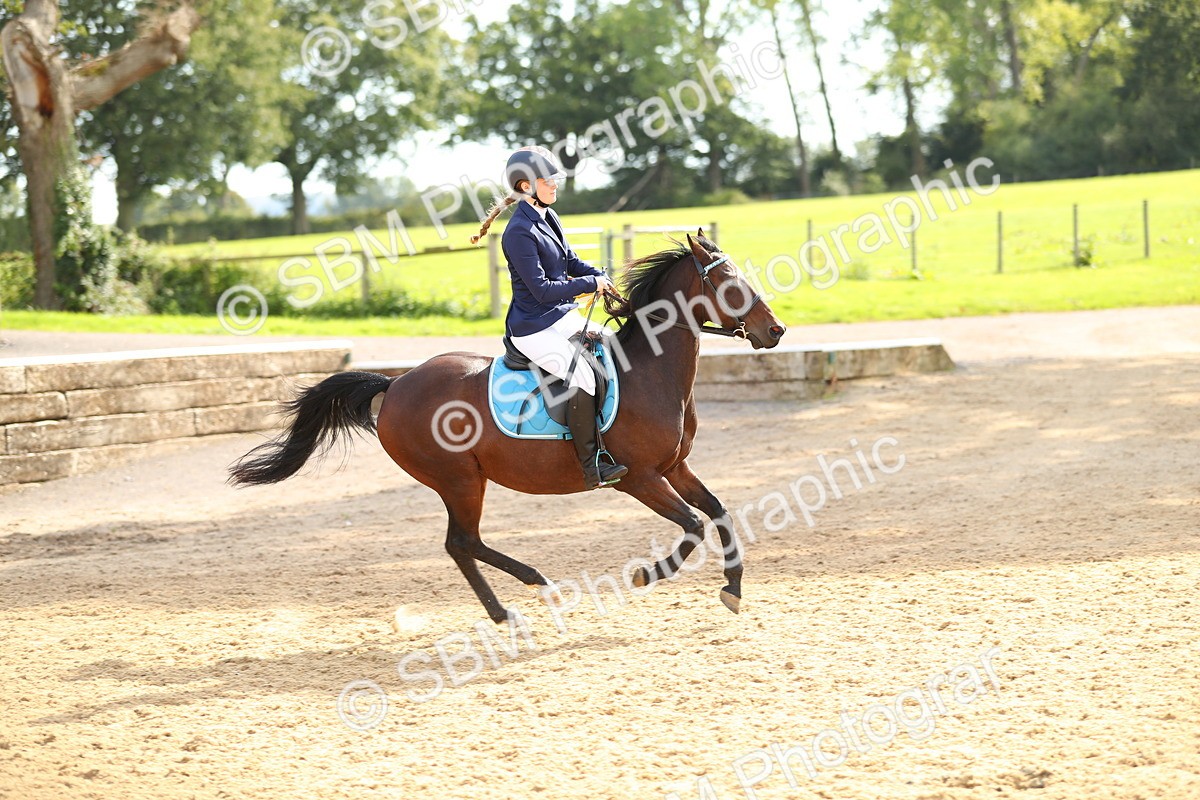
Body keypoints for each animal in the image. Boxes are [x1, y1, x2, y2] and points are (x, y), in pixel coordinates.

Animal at [229, 231, 786, 623]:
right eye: (729, 283)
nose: (776, 330)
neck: (650, 370)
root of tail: (397, 383)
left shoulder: (676, 466)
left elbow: (718, 512)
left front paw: (733, 590)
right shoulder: (638, 478)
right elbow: (693, 525)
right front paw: (648, 574)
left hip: (463, 480)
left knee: (464, 543)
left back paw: (519, 600)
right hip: (459, 479)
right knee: (461, 542)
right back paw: (527, 593)